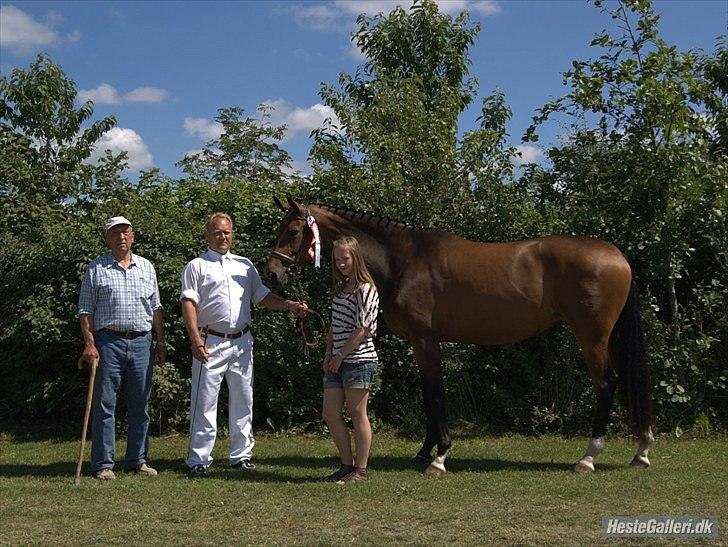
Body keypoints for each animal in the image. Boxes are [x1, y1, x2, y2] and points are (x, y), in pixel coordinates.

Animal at [266, 197, 656, 476]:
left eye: (293, 232)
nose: (271, 273)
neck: (404, 259)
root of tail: (618, 256)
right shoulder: (420, 343)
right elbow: (428, 395)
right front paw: (425, 450)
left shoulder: (426, 340)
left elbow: (436, 394)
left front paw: (439, 458)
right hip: (610, 338)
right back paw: (641, 450)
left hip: (592, 337)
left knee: (606, 383)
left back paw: (587, 458)